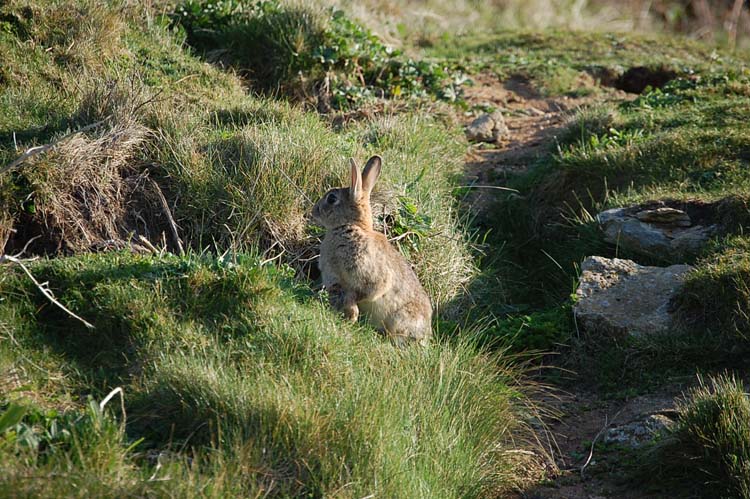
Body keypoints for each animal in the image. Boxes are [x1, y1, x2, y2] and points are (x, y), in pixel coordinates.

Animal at [312, 155, 434, 344]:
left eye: (331, 198)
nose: (313, 211)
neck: (352, 227)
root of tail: (425, 334)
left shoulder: (373, 278)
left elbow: (366, 292)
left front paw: (351, 316)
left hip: (399, 319)